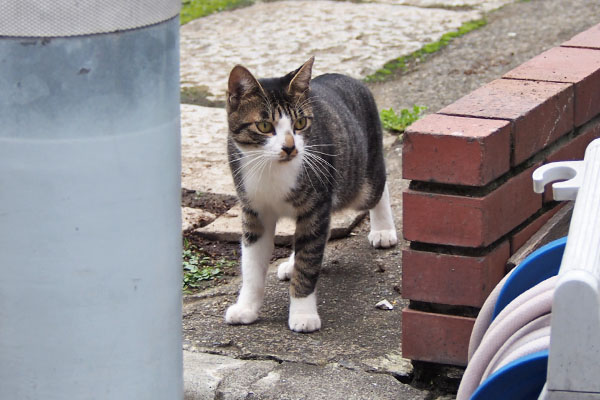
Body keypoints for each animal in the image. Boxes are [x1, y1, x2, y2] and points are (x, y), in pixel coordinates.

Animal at [223, 55, 396, 332]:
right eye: (264, 126)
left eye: (300, 123)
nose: (289, 147)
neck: (272, 168)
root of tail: (346, 77)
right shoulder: (253, 208)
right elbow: (251, 263)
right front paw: (246, 307)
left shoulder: (316, 203)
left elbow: (309, 261)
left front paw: (303, 314)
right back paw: (292, 262)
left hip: (358, 180)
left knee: (377, 186)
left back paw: (383, 230)